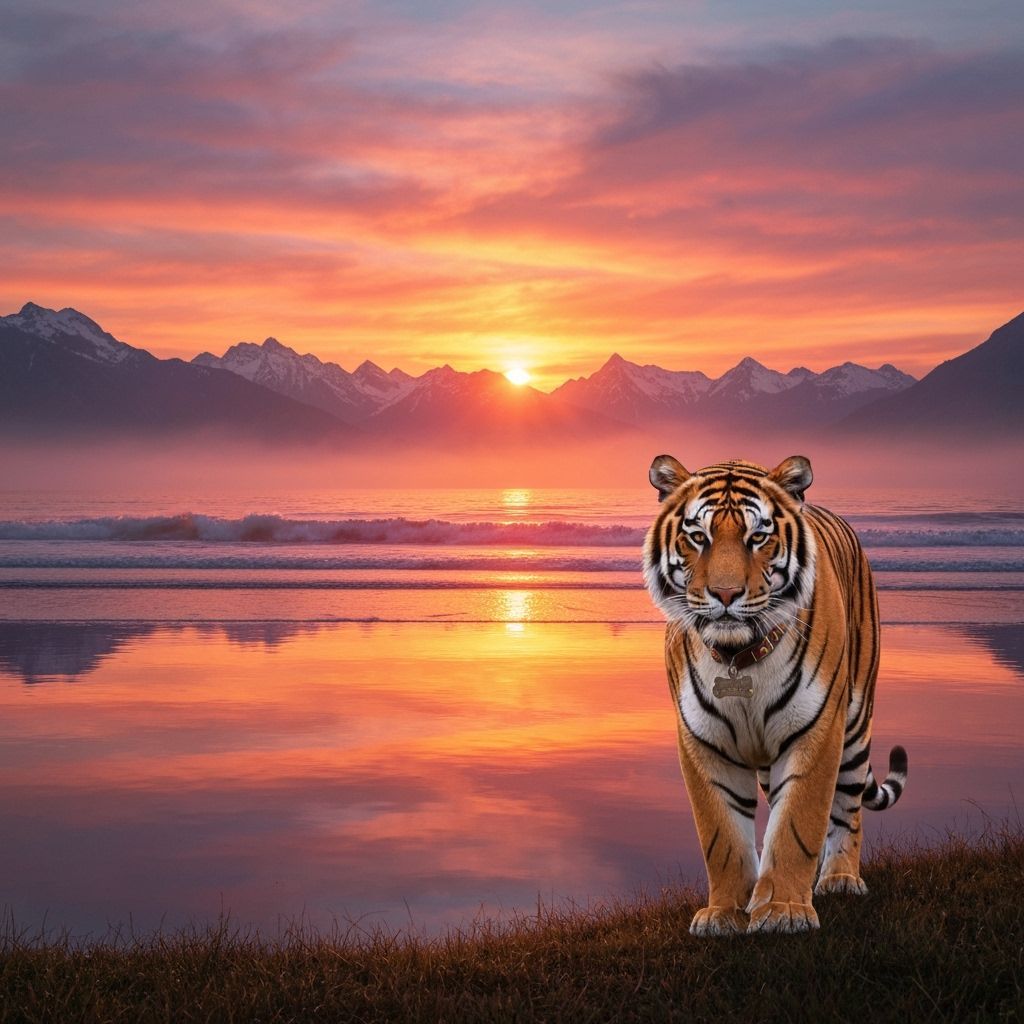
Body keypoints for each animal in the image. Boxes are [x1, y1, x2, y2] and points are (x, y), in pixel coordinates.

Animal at [643, 453, 907, 936]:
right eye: (698, 537)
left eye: (758, 537)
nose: (725, 594)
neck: (737, 656)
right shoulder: (703, 743)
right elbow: (722, 836)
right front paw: (725, 912)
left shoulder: (816, 732)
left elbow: (797, 824)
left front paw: (784, 909)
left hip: (855, 723)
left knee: (848, 807)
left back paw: (840, 879)